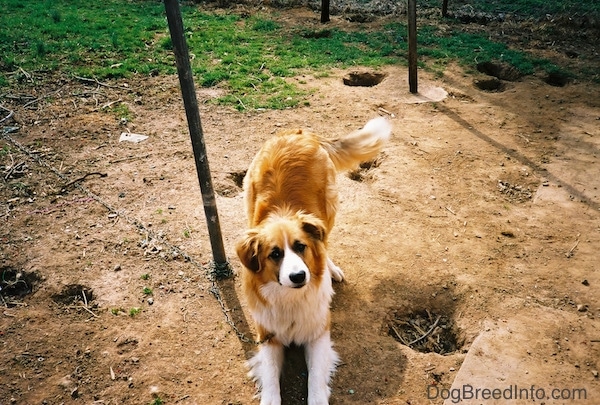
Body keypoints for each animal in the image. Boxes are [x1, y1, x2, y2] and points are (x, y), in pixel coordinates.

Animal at [237, 117, 392, 404]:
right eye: (275, 254)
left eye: (301, 247)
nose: (299, 276)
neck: (290, 299)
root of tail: (298, 133)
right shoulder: (267, 336)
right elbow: (271, 379)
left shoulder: (318, 333)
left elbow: (316, 381)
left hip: (327, 214)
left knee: (325, 242)